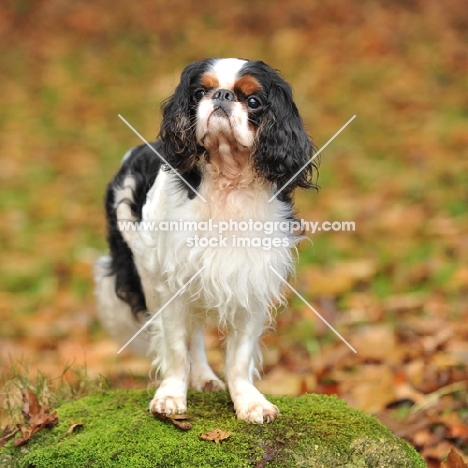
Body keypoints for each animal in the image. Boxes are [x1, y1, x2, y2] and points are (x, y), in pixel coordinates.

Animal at [93, 58, 316, 424]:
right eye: (199, 93)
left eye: (253, 101)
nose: (222, 96)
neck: (227, 178)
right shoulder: (172, 281)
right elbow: (175, 348)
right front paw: (171, 396)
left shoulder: (251, 282)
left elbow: (239, 356)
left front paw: (248, 402)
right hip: (148, 275)